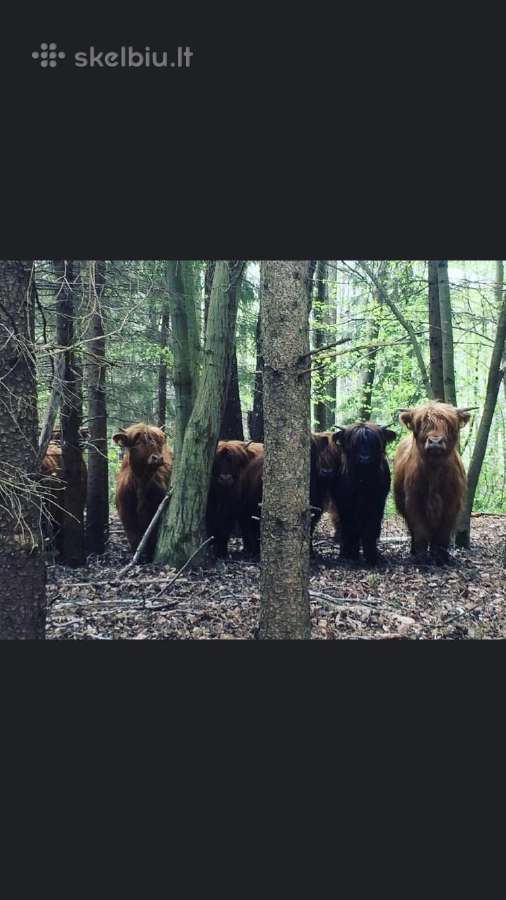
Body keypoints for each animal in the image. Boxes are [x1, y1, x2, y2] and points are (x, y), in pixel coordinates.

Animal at [113, 423, 173, 562]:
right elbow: (134, 537)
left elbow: (151, 536)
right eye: (139, 442)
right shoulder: (126, 515)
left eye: (159, 442)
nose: (158, 458)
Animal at [330, 423, 396, 565]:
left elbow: (371, 528)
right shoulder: (345, 504)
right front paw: (351, 554)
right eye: (354, 444)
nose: (364, 458)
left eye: (374, 443)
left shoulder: (377, 503)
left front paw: (371, 556)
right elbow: (351, 528)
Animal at [394, 402, 471, 563]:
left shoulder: (451, 504)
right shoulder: (413, 501)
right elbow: (420, 531)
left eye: (449, 425)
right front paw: (422, 557)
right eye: (421, 424)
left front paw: (441, 557)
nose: (435, 442)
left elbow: (443, 534)